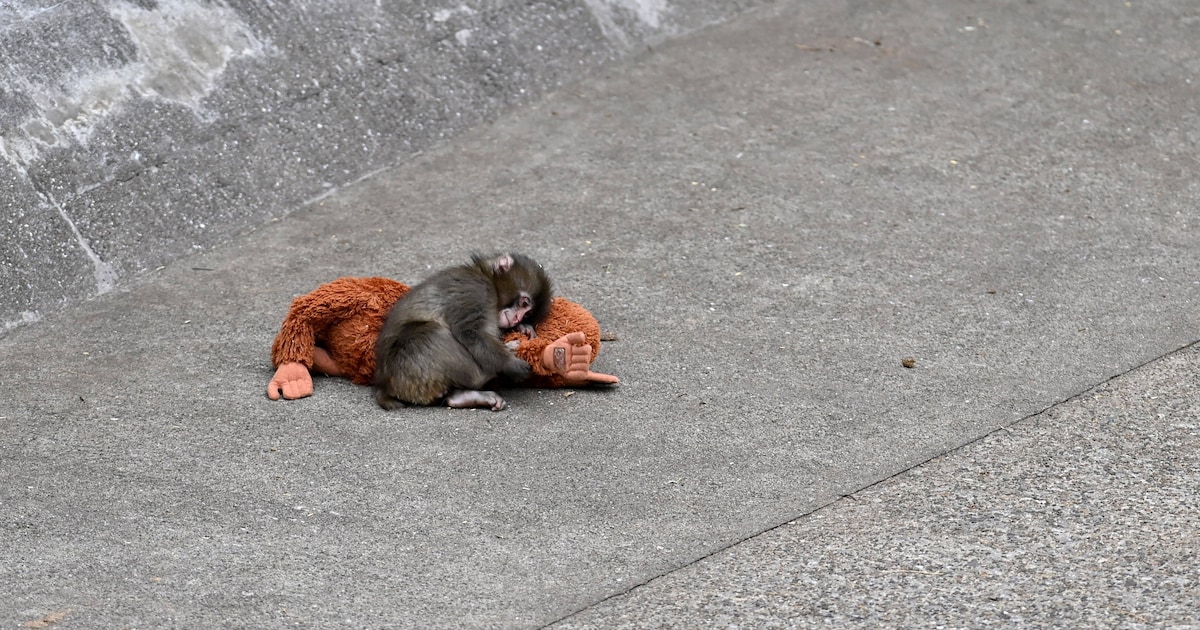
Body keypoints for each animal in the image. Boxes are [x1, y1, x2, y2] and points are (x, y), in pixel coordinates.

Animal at [374, 253, 553, 411]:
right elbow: (470, 332)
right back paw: (486, 373)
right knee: (432, 333)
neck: (486, 276)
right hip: (407, 368)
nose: (517, 319)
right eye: (524, 303)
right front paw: (510, 364)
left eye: (527, 314)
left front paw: (524, 328)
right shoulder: (476, 289)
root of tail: (384, 386)